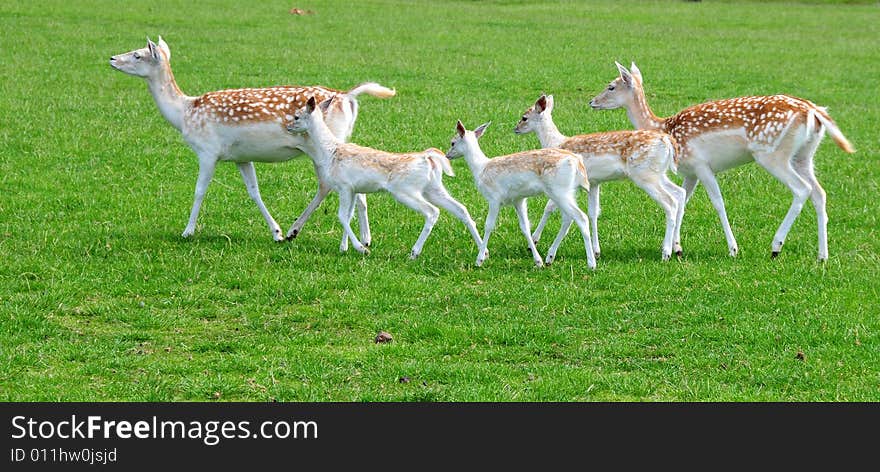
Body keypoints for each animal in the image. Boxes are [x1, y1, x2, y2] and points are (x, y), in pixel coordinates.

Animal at [592, 61, 852, 262]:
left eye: (611, 86)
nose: (592, 102)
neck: (663, 126)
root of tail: (814, 111)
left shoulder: (701, 164)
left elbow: (718, 202)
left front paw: (732, 249)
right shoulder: (690, 171)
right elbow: (683, 201)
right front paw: (677, 249)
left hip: (771, 153)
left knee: (802, 189)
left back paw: (776, 247)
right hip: (804, 155)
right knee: (819, 193)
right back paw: (822, 256)